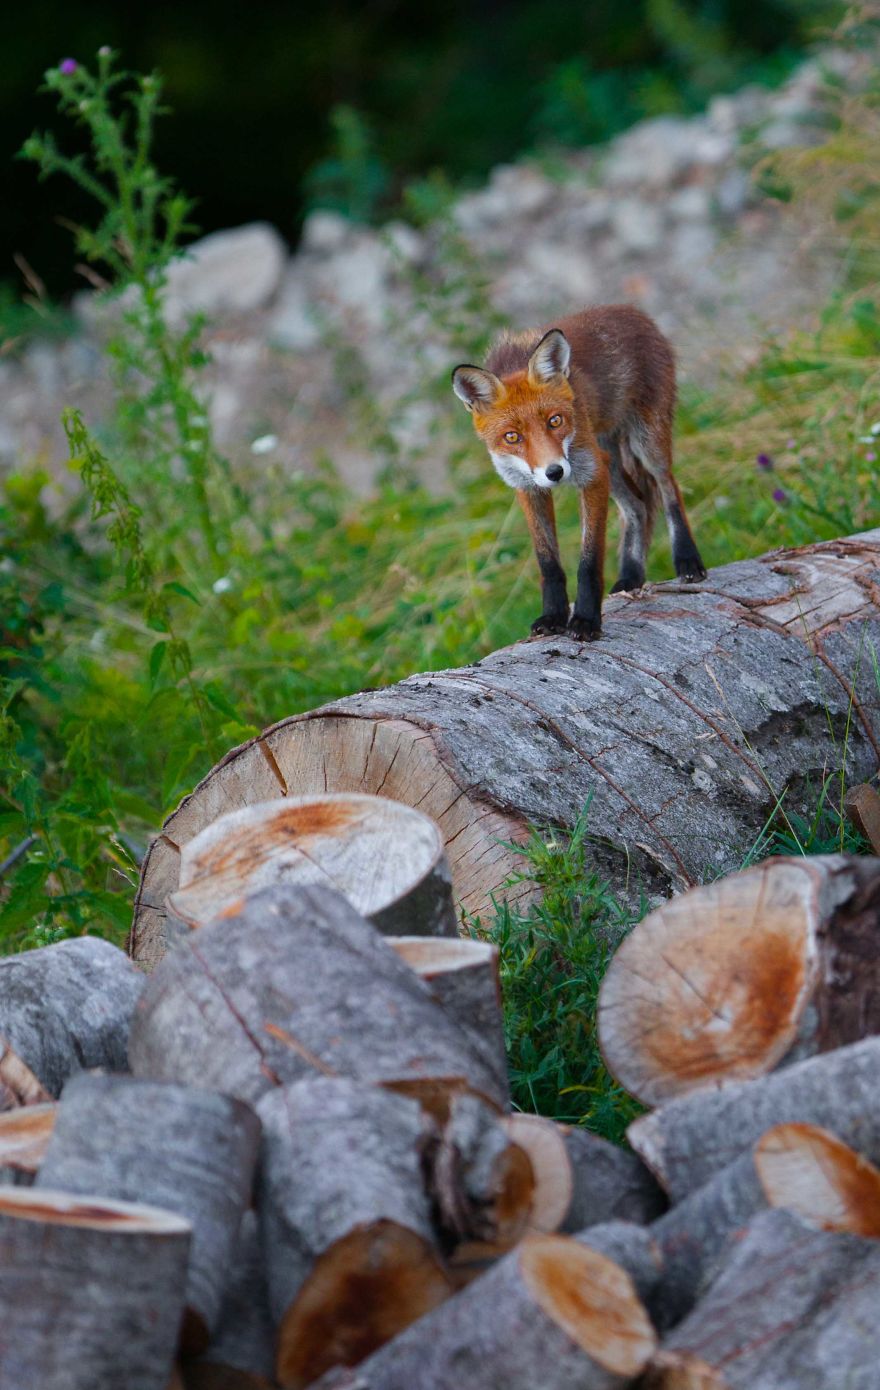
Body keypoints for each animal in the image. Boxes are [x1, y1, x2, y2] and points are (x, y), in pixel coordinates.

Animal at [452, 304, 706, 641]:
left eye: (555, 421)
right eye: (512, 437)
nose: (555, 472)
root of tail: (631, 311)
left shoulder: (590, 475)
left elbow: (589, 562)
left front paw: (585, 620)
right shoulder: (528, 488)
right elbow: (548, 564)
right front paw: (553, 616)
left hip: (644, 445)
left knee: (668, 489)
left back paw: (688, 560)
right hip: (609, 460)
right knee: (638, 507)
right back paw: (631, 576)